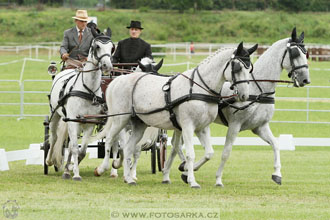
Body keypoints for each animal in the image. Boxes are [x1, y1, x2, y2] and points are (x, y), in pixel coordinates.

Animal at [45, 27, 114, 180]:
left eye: (112, 48)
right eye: (97, 46)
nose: (107, 66)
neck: (88, 89)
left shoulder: (89, 123)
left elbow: (81, 150)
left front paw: (71, 168)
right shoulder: (72, 121)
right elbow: (74, 148)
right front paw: (75, 174)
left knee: (70, 143)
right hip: (56, 115)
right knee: (54, 137)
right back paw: (50, 160)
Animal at [93, 42, 258, 188]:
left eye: (250, 68)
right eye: (237, 67)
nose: (244, 95)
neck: (199, 88)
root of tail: (118, 80)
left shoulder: (202, 128)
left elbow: (209, 153)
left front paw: (184, 171)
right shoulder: (187, 126)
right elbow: (190, 153)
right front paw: (192, 181)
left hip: (139, 124)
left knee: (128, 148)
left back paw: (129, 178)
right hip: (120, 119)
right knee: (111, 140)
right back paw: (103, 168)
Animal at [164, 26, 310, 186]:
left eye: (306, 53)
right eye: (295, 53)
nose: (305, 80)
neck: (257, 89)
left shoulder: (260, 127)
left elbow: (276, 145)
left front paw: (277, 174)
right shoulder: (235, 125)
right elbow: (226, 153)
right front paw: (218, 179)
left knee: (175, 145)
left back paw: (173, 169)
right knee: (176, 145)